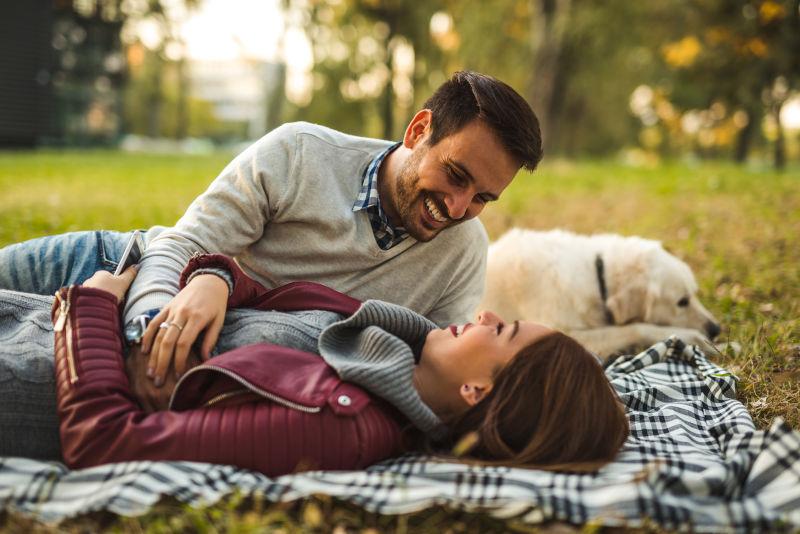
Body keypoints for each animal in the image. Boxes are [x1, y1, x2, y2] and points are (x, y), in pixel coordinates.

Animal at [478, 228, 720, 358]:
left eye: (695, 293)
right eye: (682, 302)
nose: (716, 329)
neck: (596, 274)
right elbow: (635, 328)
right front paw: (693, 338)